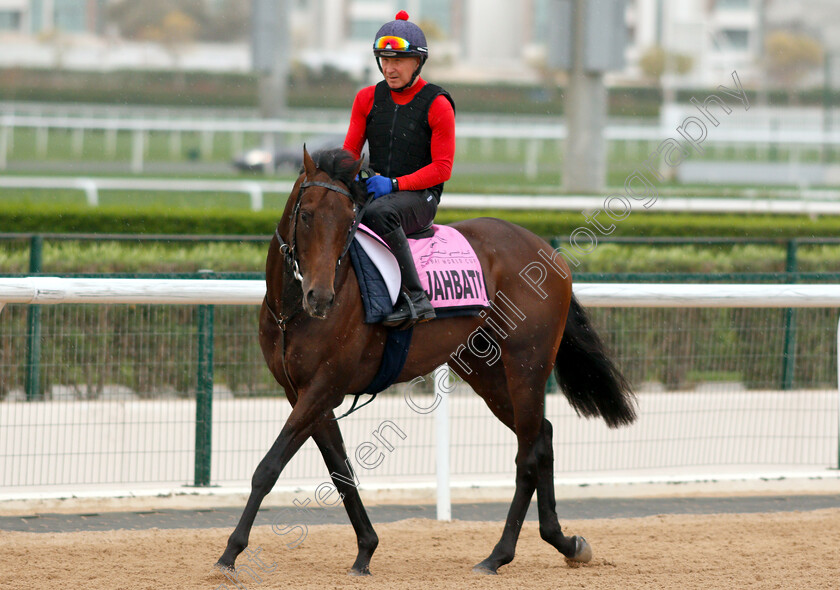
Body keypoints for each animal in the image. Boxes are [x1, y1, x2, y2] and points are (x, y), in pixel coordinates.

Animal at [217, 148, 636, 580]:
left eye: (349, 220)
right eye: (307, 215)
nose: (321, 297)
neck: (292, 313)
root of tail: (549, 252)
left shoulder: (324, 387)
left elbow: (269, 468)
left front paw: (230, 553)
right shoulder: (302, 392)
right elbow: (341, 471)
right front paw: (365, 550)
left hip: (527, 363)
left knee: (528, 454)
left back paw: (498, 555)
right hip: (484, 369)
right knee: (543, 435)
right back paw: (564, 541)